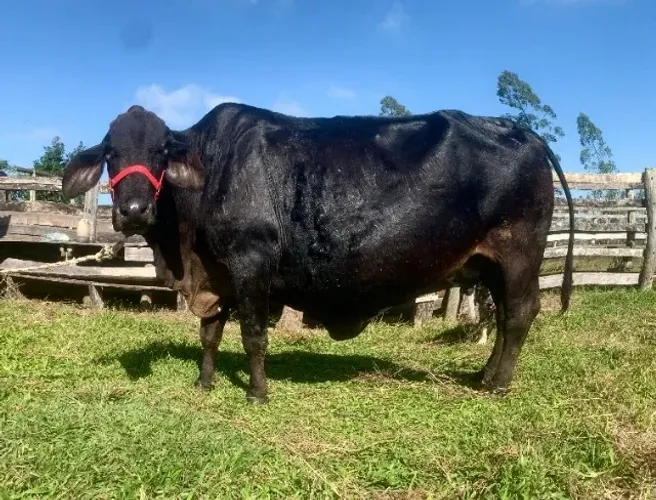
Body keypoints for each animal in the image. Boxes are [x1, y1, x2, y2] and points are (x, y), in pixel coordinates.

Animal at [62, 103, 574, 404]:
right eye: (110, 152)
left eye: (163, 151)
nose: (132, 211)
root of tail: (523, 131)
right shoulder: (217, 274)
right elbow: (209, 335)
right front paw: (204, 383)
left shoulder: (251, 264)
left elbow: (253, 336)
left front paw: (257, 393)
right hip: (489, 264)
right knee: (504, 314)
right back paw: (485, 375)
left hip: (518, 254)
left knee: (519, 313)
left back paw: (498, 385)